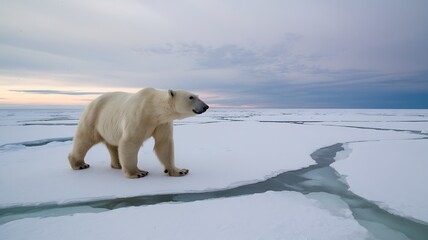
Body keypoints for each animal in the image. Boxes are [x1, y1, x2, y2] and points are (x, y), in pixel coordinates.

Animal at [68, 88, 209, 178]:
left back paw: (118, 165)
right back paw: (80, 164)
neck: (154, 108)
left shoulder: (162, 123)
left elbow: (164, 144)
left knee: (112, 146)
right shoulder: (139, 115)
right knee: (85, 139)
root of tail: (91, 103)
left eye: (198, 96)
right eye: (191, 97)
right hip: (94, 117)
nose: (206, 106)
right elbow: (130, 141)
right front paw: (138, 173)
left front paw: (179, 171)